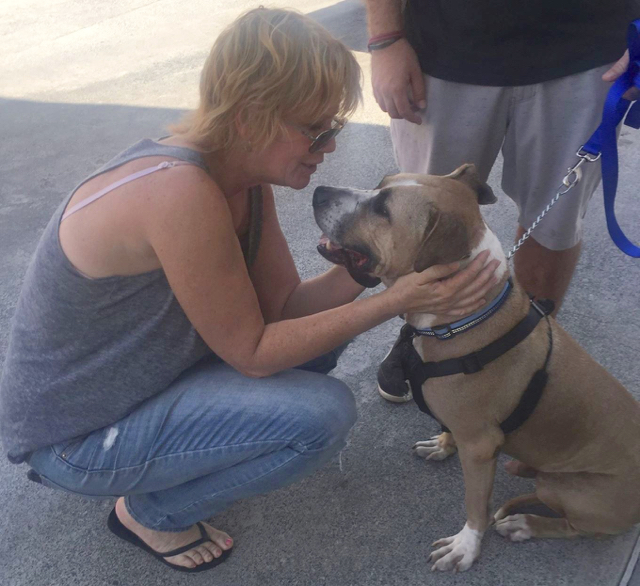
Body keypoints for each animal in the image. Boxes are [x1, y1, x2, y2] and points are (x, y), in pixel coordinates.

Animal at [312, 163, 640, 572]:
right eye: (380, 185)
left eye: (383, 210)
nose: (318, 191)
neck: (465, 316)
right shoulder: (469, 431)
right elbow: (451, 432)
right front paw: (442, 444)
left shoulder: (480, 447)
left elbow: (476, 504)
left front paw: (465, 546)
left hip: (573, 492)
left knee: (573, 526)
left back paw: (525, 524)